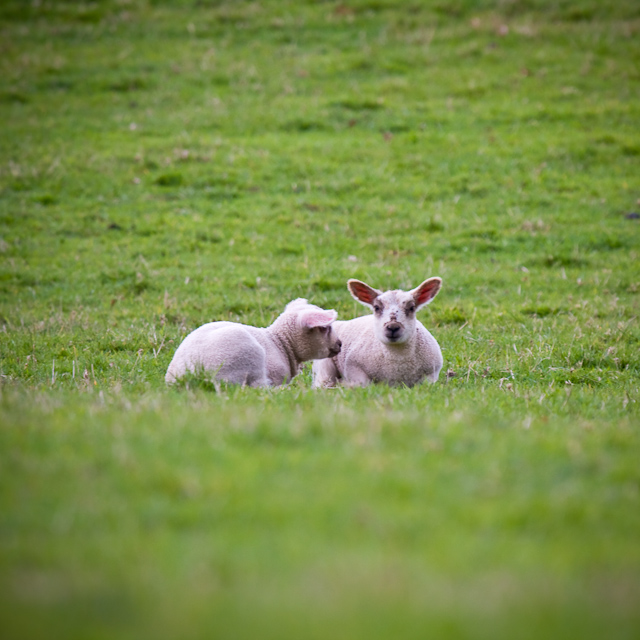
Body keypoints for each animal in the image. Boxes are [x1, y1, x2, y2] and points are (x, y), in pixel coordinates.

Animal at [312, 278, 442, 388]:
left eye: (411, 308)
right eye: (376, 308)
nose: (393, 327)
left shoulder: (432, 373)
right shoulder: (354, 367)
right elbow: (362, 384)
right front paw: (345, 384)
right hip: (324, 364)